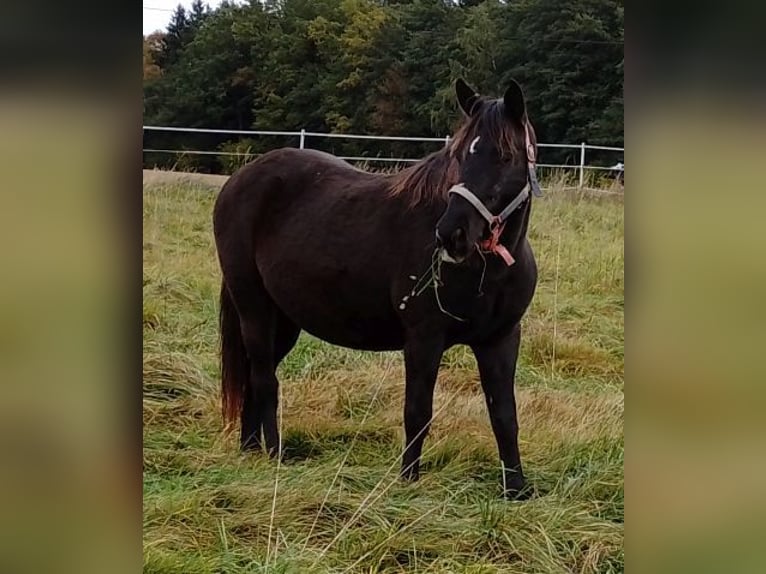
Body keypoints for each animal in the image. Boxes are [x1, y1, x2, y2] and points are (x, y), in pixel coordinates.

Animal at [213, 80, 544, 500]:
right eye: (458, 155)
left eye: (504, 155)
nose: (451, 234)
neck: (488, 270)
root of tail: (238, 180)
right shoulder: (423, 339)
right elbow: (417, 411)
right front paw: (408, 481)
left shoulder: (500, 339)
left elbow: (504, 414)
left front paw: (516, 489)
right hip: (253, 308)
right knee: (263, 380)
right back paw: (275, 454)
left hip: (283, 320)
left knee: (256, 377)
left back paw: (250, 449)